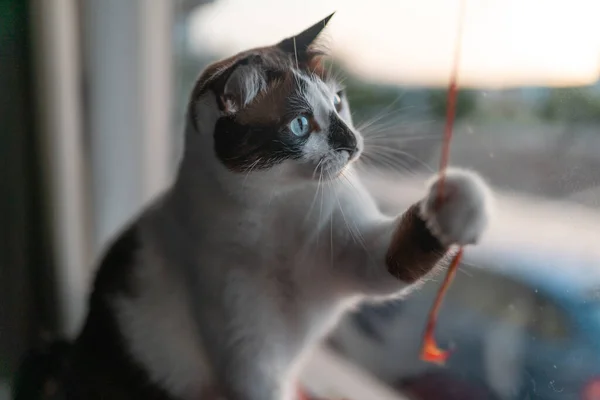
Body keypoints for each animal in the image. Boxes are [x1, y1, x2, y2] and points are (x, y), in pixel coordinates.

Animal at [14, 13, 492, 400]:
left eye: (338, 102)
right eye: (300, 125)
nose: (353, 143)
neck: (277, 206)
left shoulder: (354, 252)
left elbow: (398, 252)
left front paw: (458, 204)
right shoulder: (249, 355)